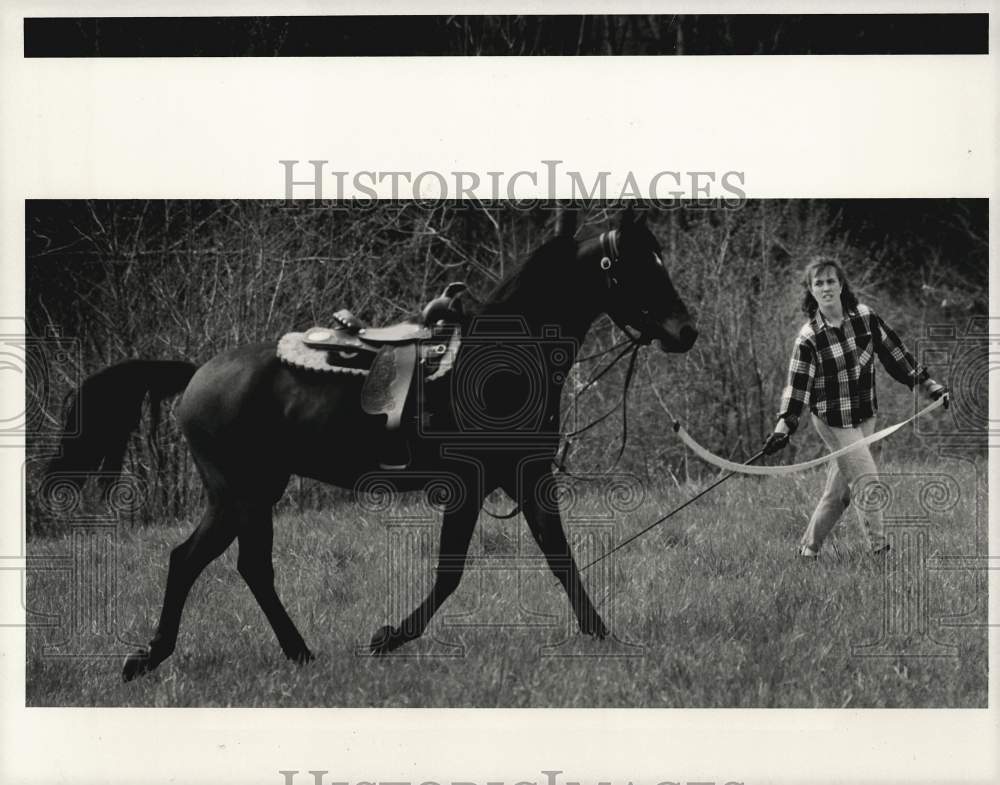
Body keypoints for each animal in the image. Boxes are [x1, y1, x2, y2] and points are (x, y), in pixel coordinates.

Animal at [47, 208, 696, 680]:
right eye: (636, 264)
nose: (686, 330)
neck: (501, 357)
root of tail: (197, 374)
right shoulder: (475, 483)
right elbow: (451, 572)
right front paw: (389, 638)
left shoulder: (525, 475)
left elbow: (559, 556)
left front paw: (602, 633)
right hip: (242, 494)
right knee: (224, 564)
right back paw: (228, 654)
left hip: (243, 495)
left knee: (213, 562)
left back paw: (227, 654)